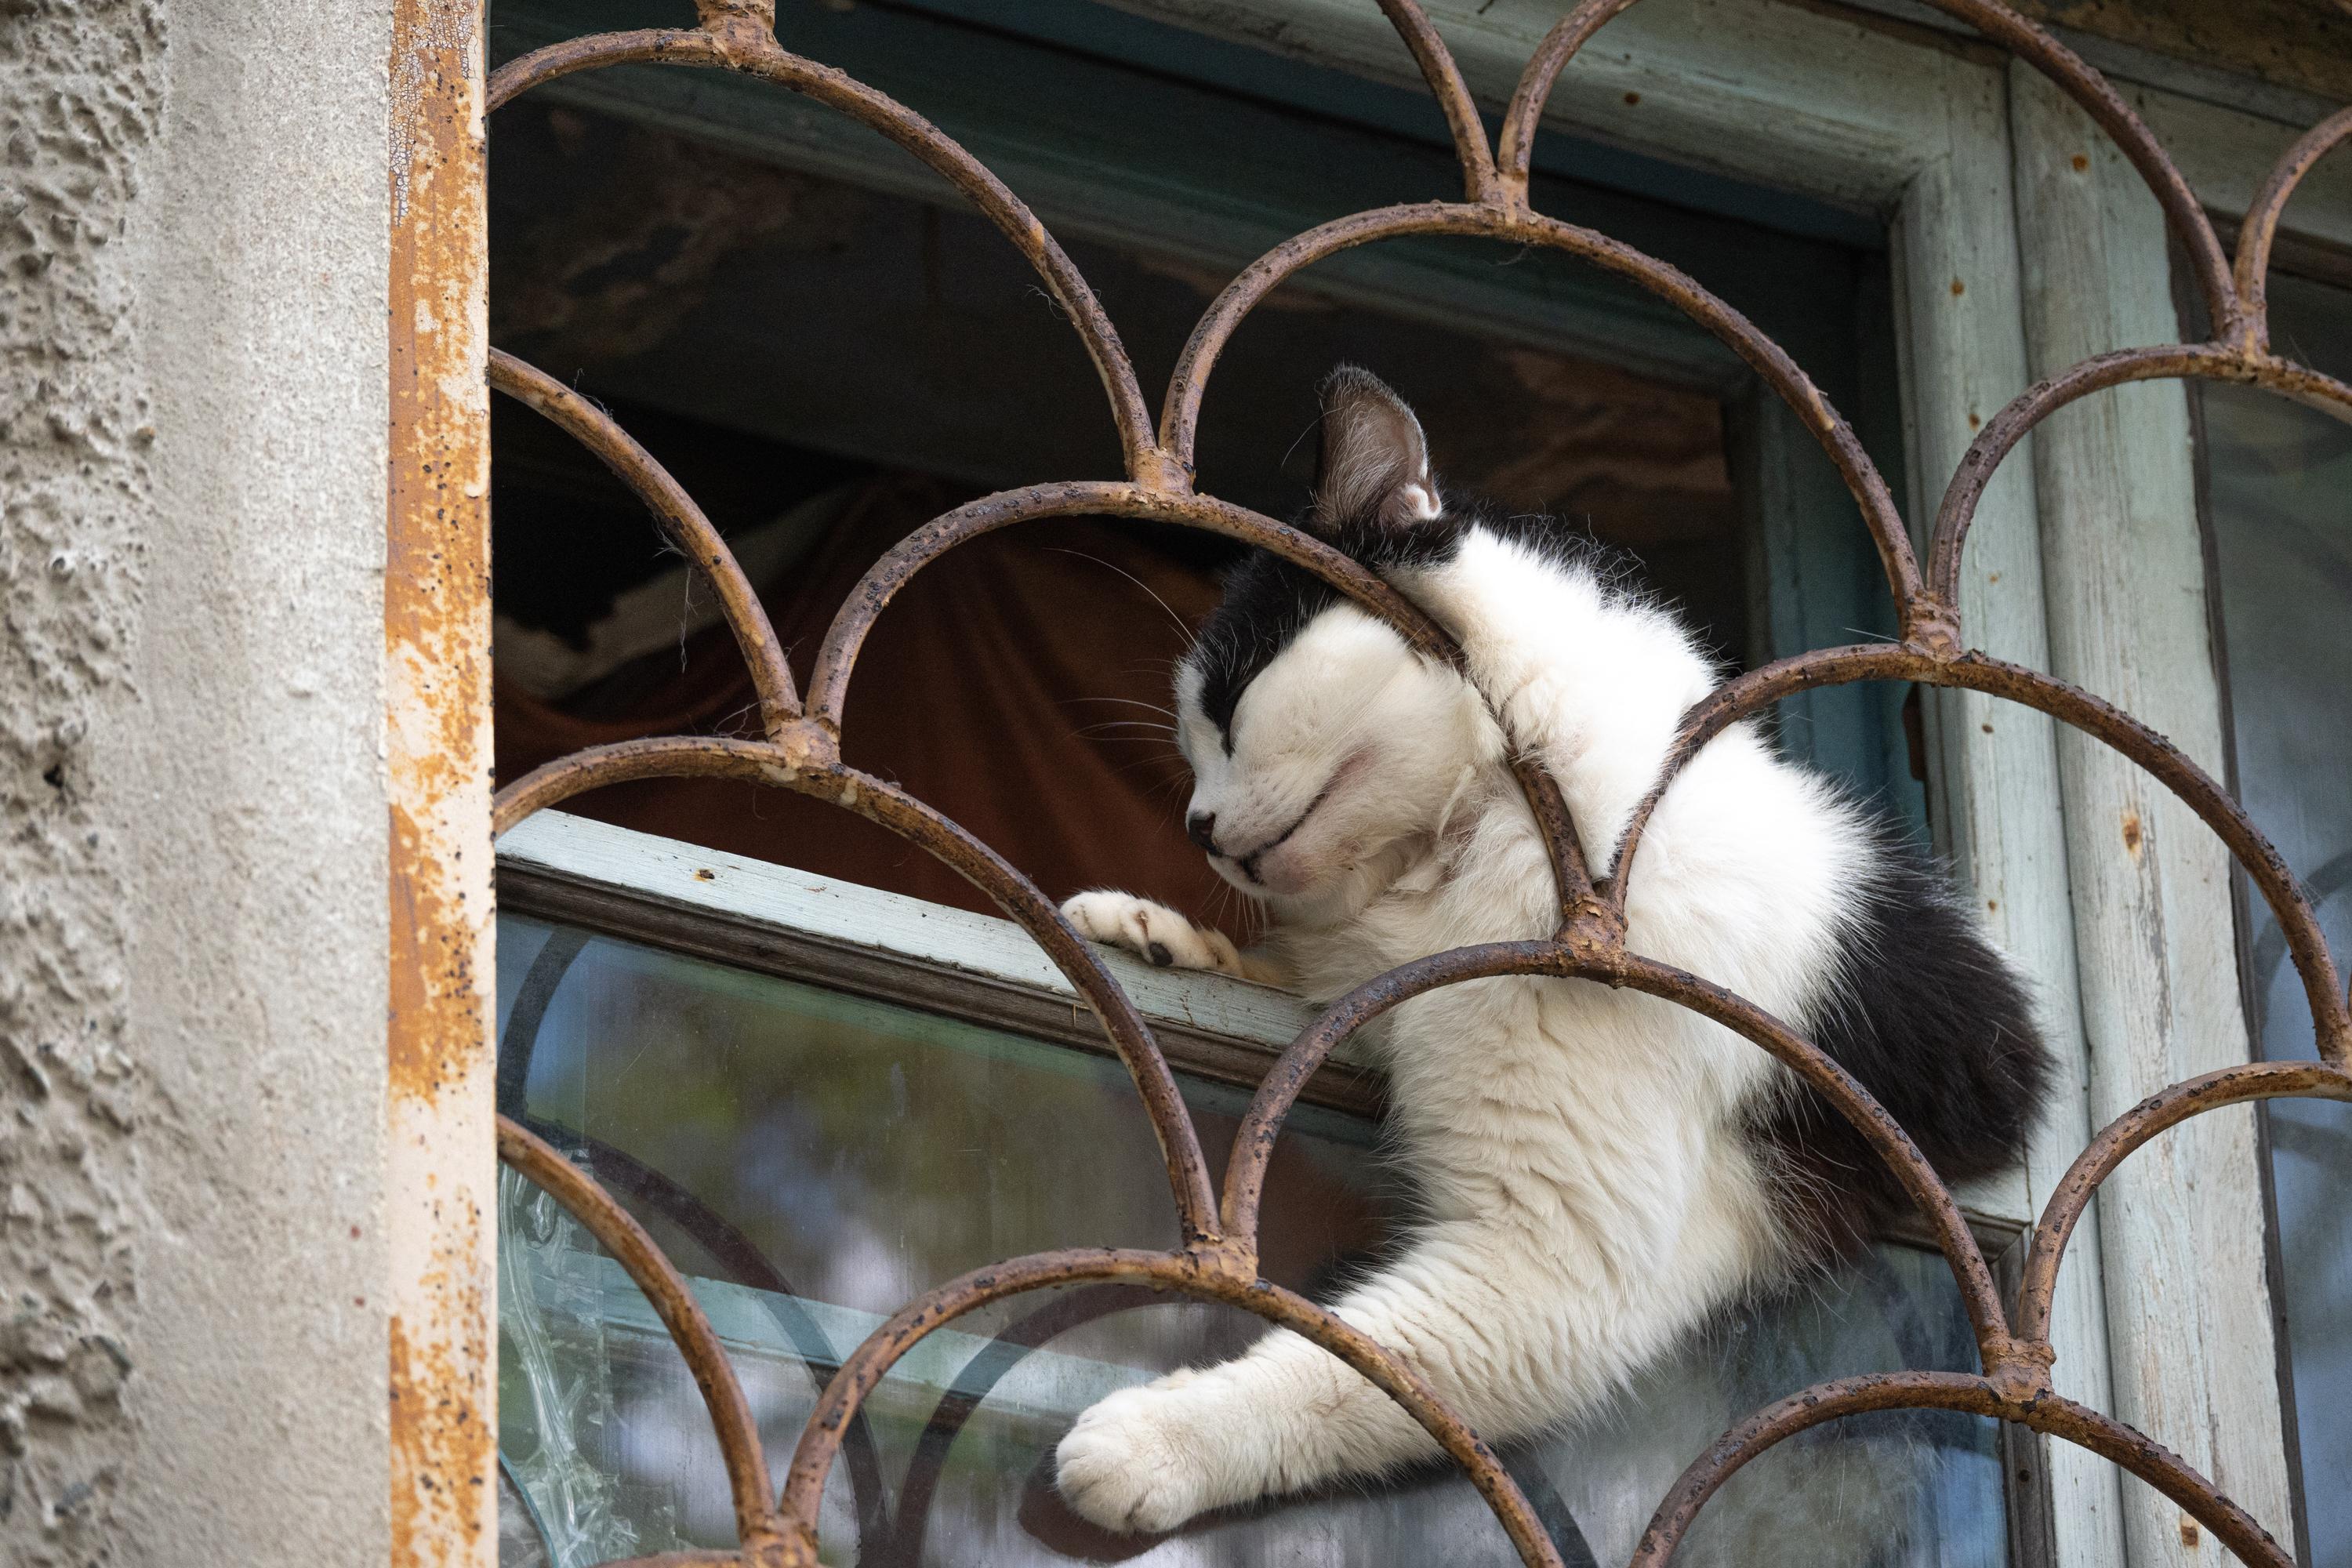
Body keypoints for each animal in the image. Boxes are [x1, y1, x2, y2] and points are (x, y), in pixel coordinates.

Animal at [1058, 364, 2051, 1533]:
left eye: (1223, 707)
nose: (1199, 828)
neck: (1460, 853)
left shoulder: (1553, 1268)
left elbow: (1350, 1370)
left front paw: (1157, 1442)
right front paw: (1159, 934)